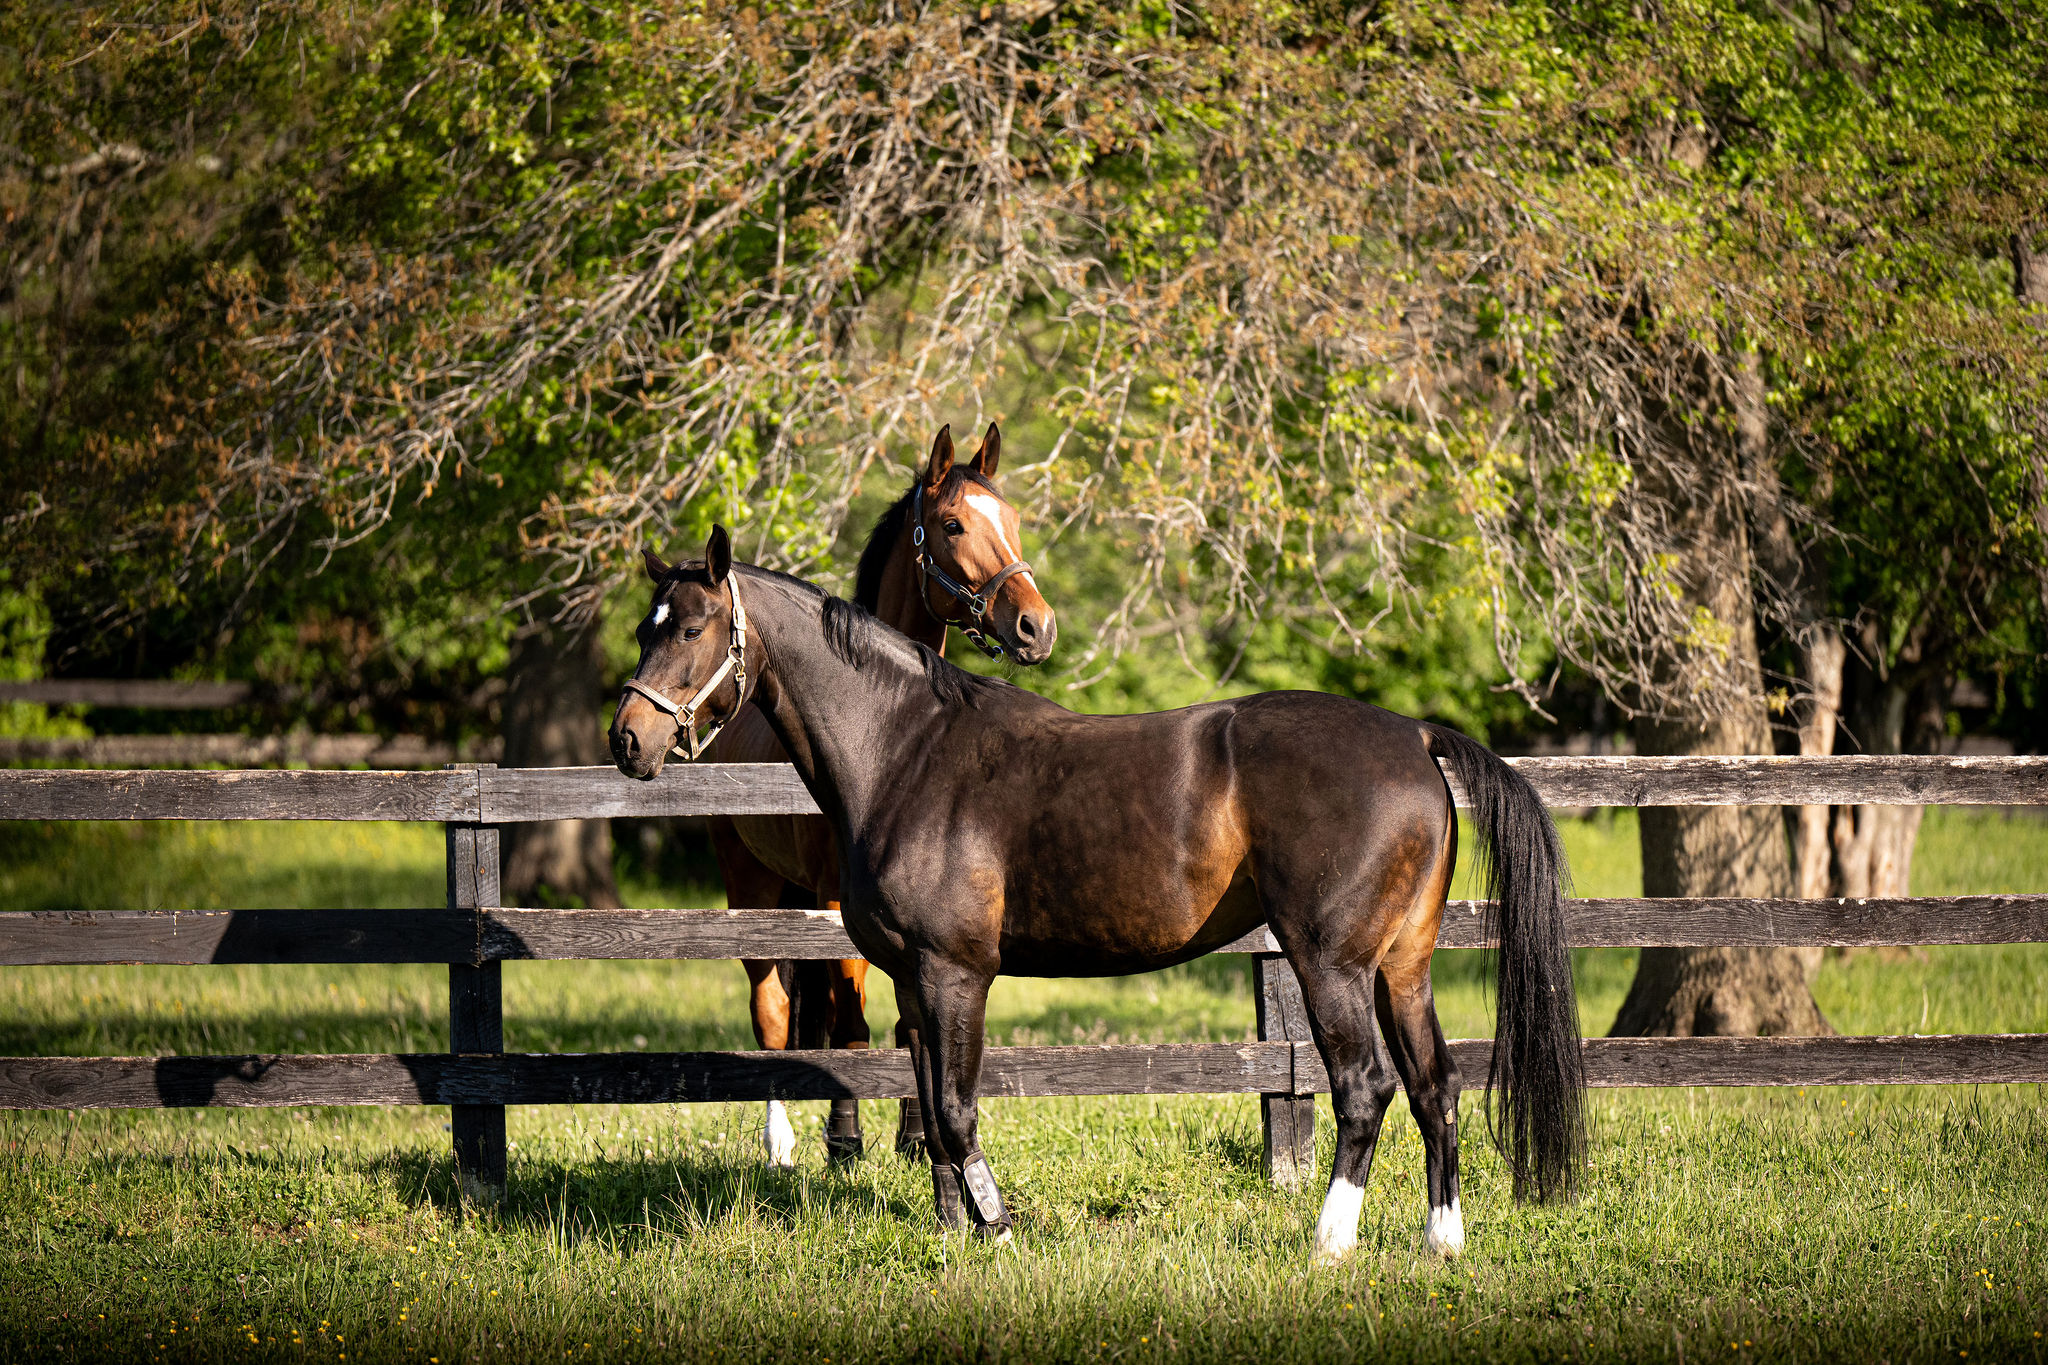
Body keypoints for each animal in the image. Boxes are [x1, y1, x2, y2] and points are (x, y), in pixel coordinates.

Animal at [610, 529, 1585, 1260]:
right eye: (644, 630)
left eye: (693, 628)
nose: (628, 739)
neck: (906, 749)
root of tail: (1415, 735)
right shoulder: (911, 980)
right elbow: (931, 1114)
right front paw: (955, 1236)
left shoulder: (958, 974)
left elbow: (956, 1110)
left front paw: (1001, 1234)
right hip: (1403, 965)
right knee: (1434, 1085)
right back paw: (1441, 1241)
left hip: (1332, 963)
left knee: (1365, 1087)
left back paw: (1329, 1242)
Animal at [698, 422, 1057, 1167]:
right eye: (952, 525)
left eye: (1011, 521)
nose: (1038, 627)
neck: (887, 720)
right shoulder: (841, 903)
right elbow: (851, 1018)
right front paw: (846, 1134)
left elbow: (906, 1017)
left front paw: (916, 1133)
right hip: (748, 881)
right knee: (771, 1008)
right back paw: (780, 1139)